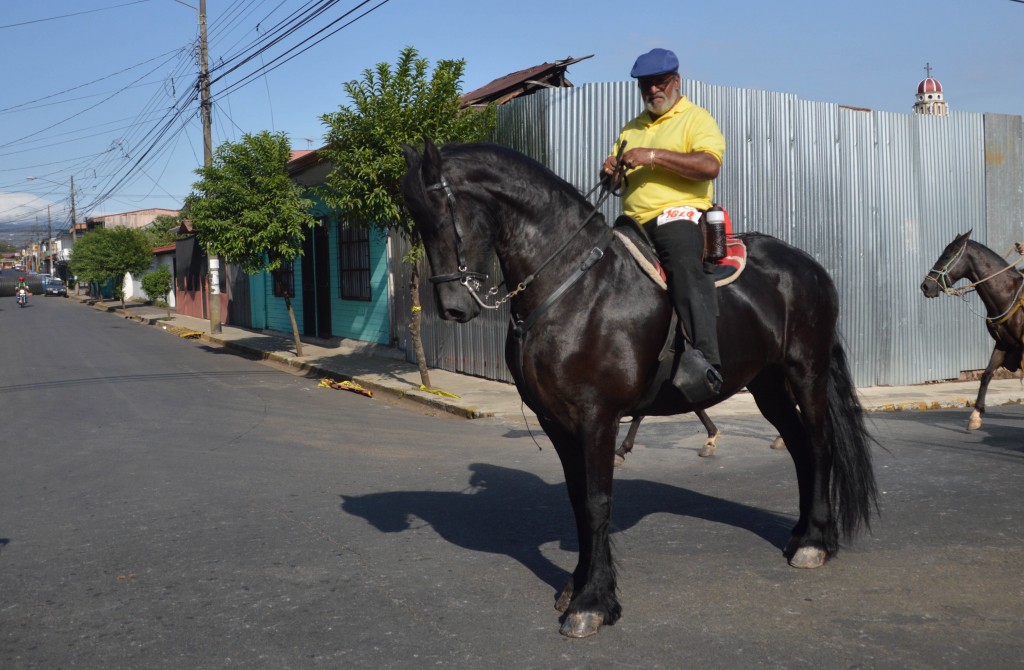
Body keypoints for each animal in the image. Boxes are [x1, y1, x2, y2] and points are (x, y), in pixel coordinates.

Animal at [403, 140, 876, 639]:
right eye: (415, 220)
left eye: (443, 215)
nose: (454, 308)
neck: (574, 285)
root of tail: (807, 265)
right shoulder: (557, 422)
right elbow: (577, 500)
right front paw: (579, 586)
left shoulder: (597, 417)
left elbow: (596, 503)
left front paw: (592, 602)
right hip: (766, 384)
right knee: (800, 448)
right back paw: (802, 535)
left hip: (806, 371)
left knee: (820, 446)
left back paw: (816, 543)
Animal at [921, 231, 1024, 430]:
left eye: (947, 256)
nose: (926, 286)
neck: (1008, 296)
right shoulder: (1003, 344)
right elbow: (986, 374)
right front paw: (976, 415)